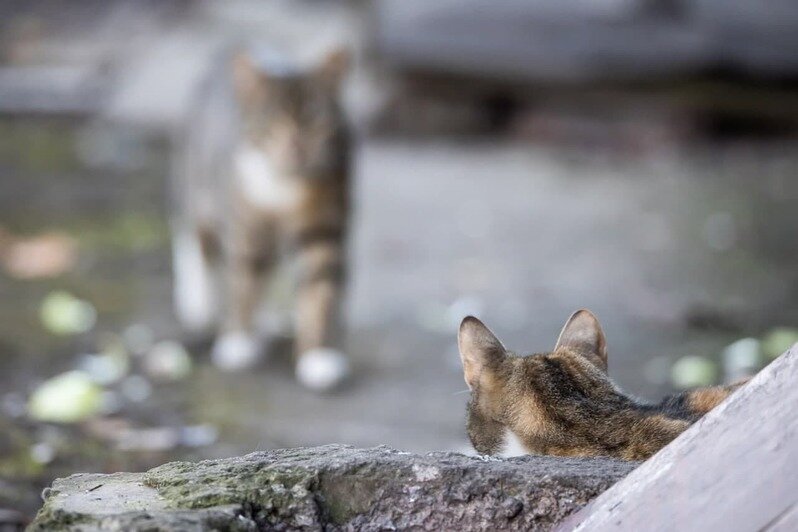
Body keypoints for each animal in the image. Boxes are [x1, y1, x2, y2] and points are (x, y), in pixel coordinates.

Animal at [170, 45, 352, 392]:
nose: (295, 146)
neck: (285, 188)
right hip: (199, 187)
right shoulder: (245, 226)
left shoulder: (324, 229)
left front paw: (318, 357)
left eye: (314, 118)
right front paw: (238, 341)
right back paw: (200, 302)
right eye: (272, 121)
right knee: (197, 242)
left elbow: (319, 290)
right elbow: (243, 279)